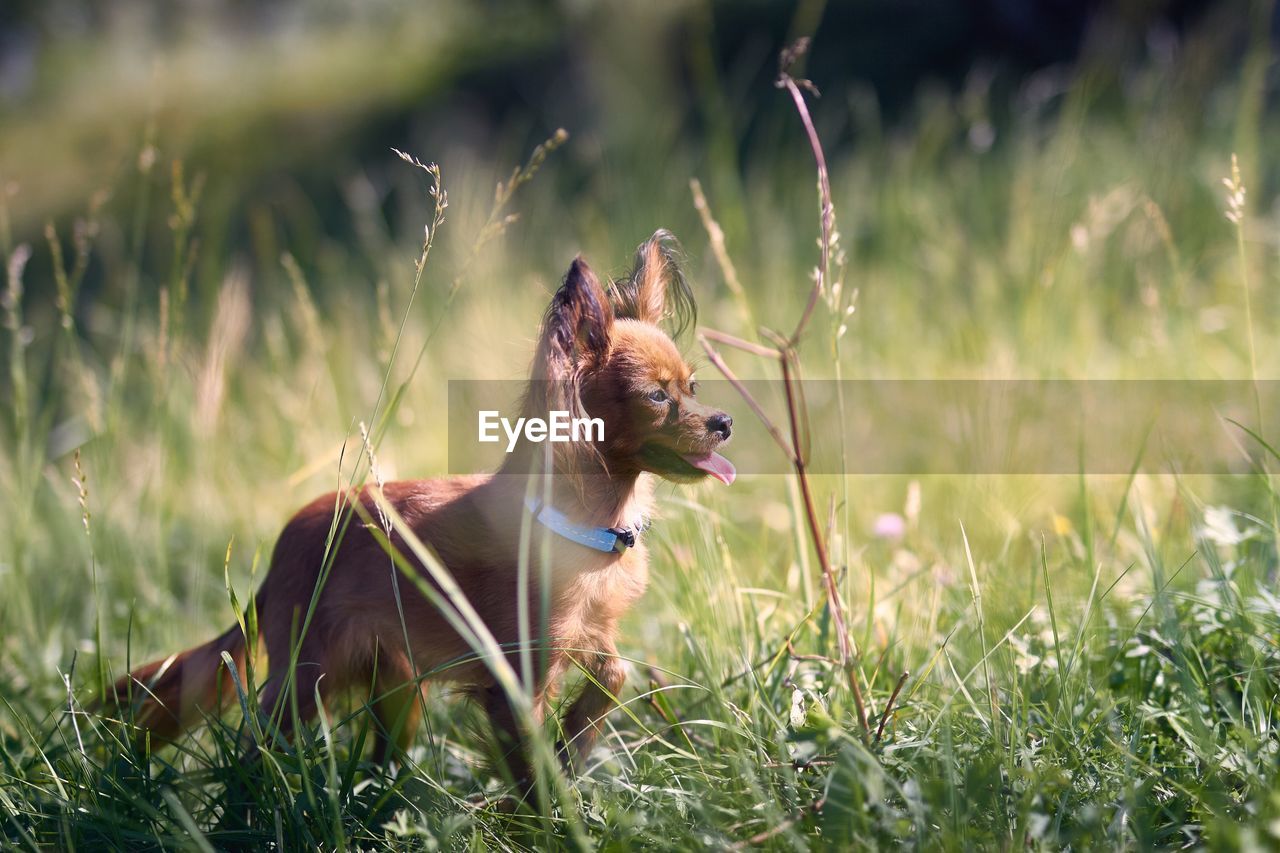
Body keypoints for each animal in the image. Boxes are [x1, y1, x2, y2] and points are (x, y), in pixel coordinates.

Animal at [108, 230, 737, 783]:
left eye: (693, 389)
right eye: (656, 396)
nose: (725, 421)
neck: (589, 525)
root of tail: (285, 542)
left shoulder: (588, 633)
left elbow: (615, 671)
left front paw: (575, 739)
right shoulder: (514, 684)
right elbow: (530, 773)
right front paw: (545, 817)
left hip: (396, 687)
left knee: (378, 758)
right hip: (307, 680)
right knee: (259, 746)